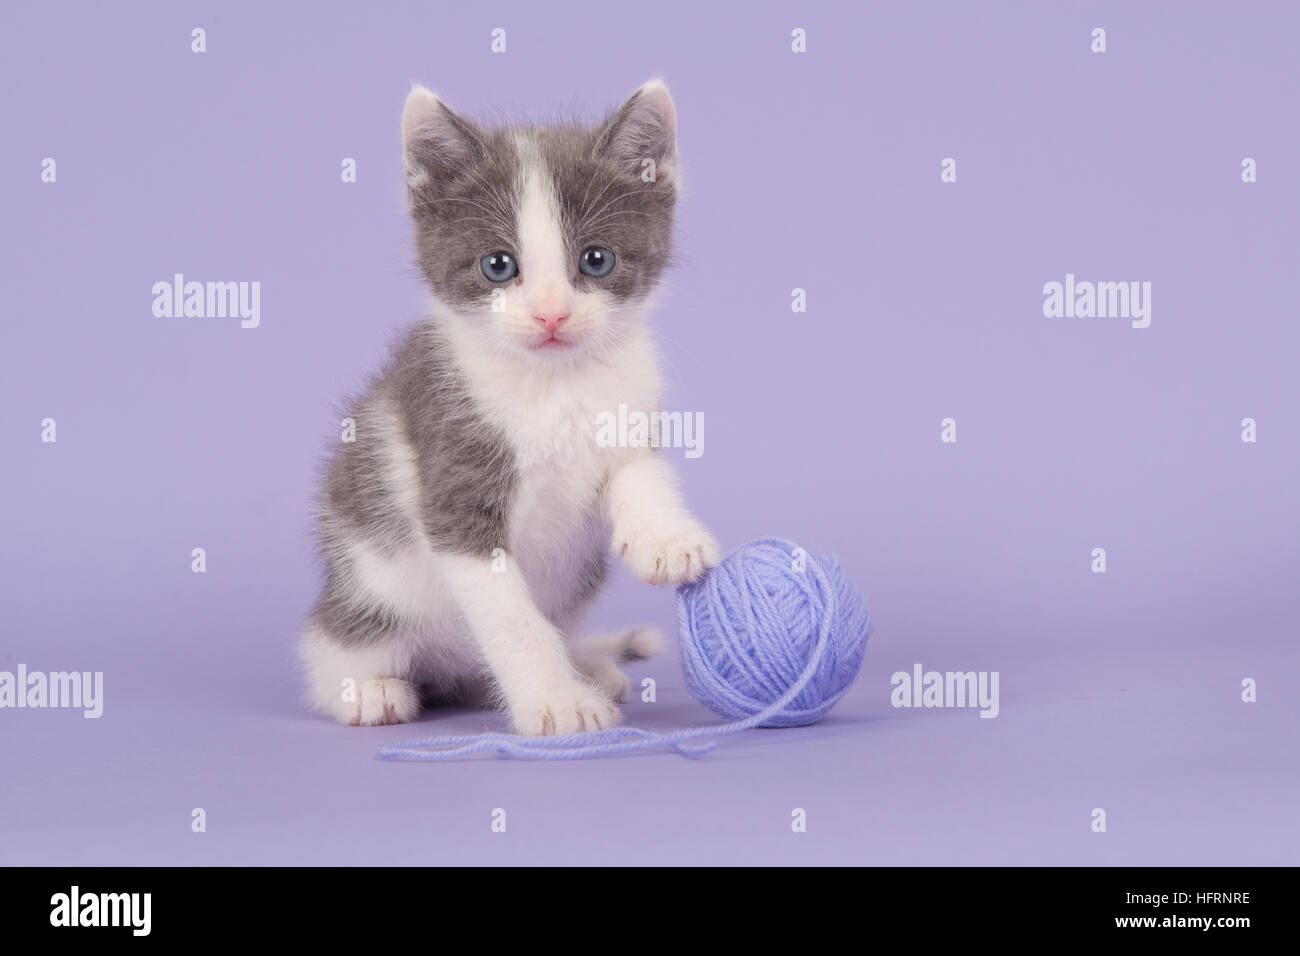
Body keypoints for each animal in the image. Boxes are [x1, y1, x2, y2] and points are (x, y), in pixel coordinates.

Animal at [297, 82, 722, 738]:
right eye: (497, 265)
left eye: (597, 260)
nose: (551, 314)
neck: (556, 383)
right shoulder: (453, 476)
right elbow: (510, 616)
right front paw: (556, 701)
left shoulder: (630, 410)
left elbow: (638, 472)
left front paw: (666, 536)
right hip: (371, 583)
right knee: (329, 645)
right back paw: (367, 689)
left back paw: (585, 664)